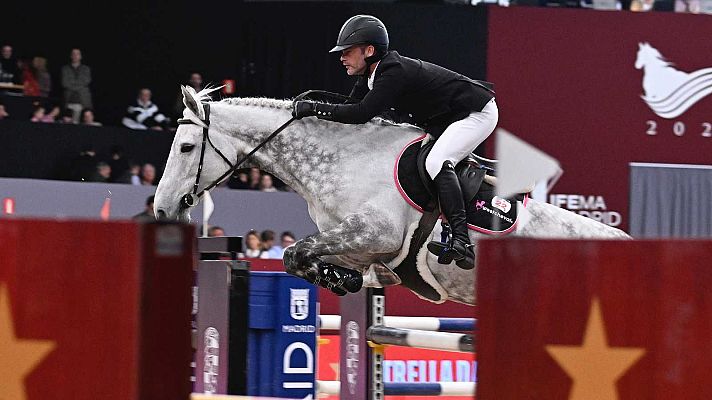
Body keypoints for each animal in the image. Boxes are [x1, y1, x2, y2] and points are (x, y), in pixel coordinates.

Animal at [154, 86, 630, 306]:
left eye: (186, 147)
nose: (161, 210)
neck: (340, 159)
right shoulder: (356, 245)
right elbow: (300, 258)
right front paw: (342, 280)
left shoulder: (375, 233)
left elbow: (295, 252)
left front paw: (339, 280)